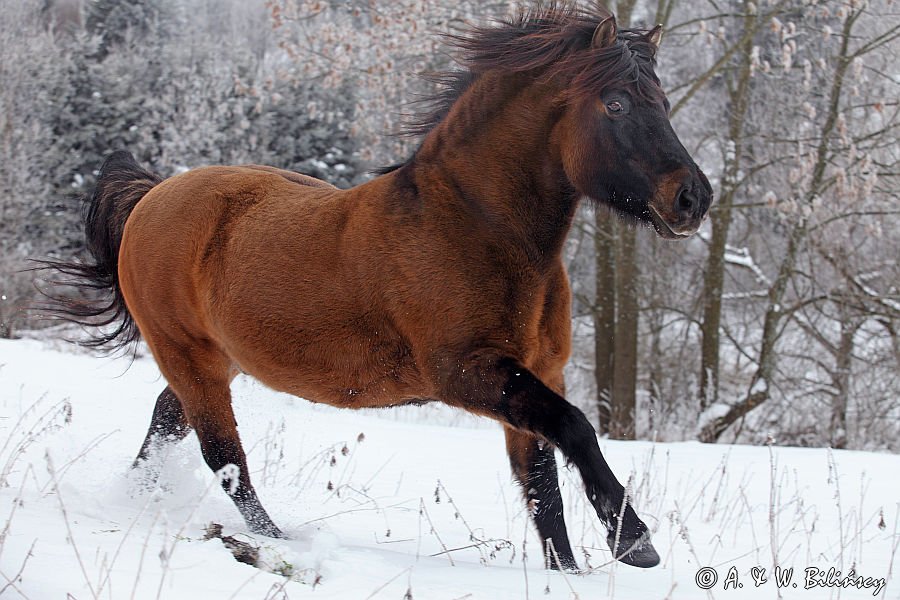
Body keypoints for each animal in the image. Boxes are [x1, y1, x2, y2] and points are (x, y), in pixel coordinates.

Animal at [44, 5, 712, 572]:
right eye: (616, 104)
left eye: (664, 101)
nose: (693, 198)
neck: (477, 227)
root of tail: (151, 197)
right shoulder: (468, 373)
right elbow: (575, 431)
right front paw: (636, 543)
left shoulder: (538, 373)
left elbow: (542, 488)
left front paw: (570, 573)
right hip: (188, 356)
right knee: (224, 458)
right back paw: (278, 543)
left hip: (216, 360)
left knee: (166, 423)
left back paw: (140, 500)